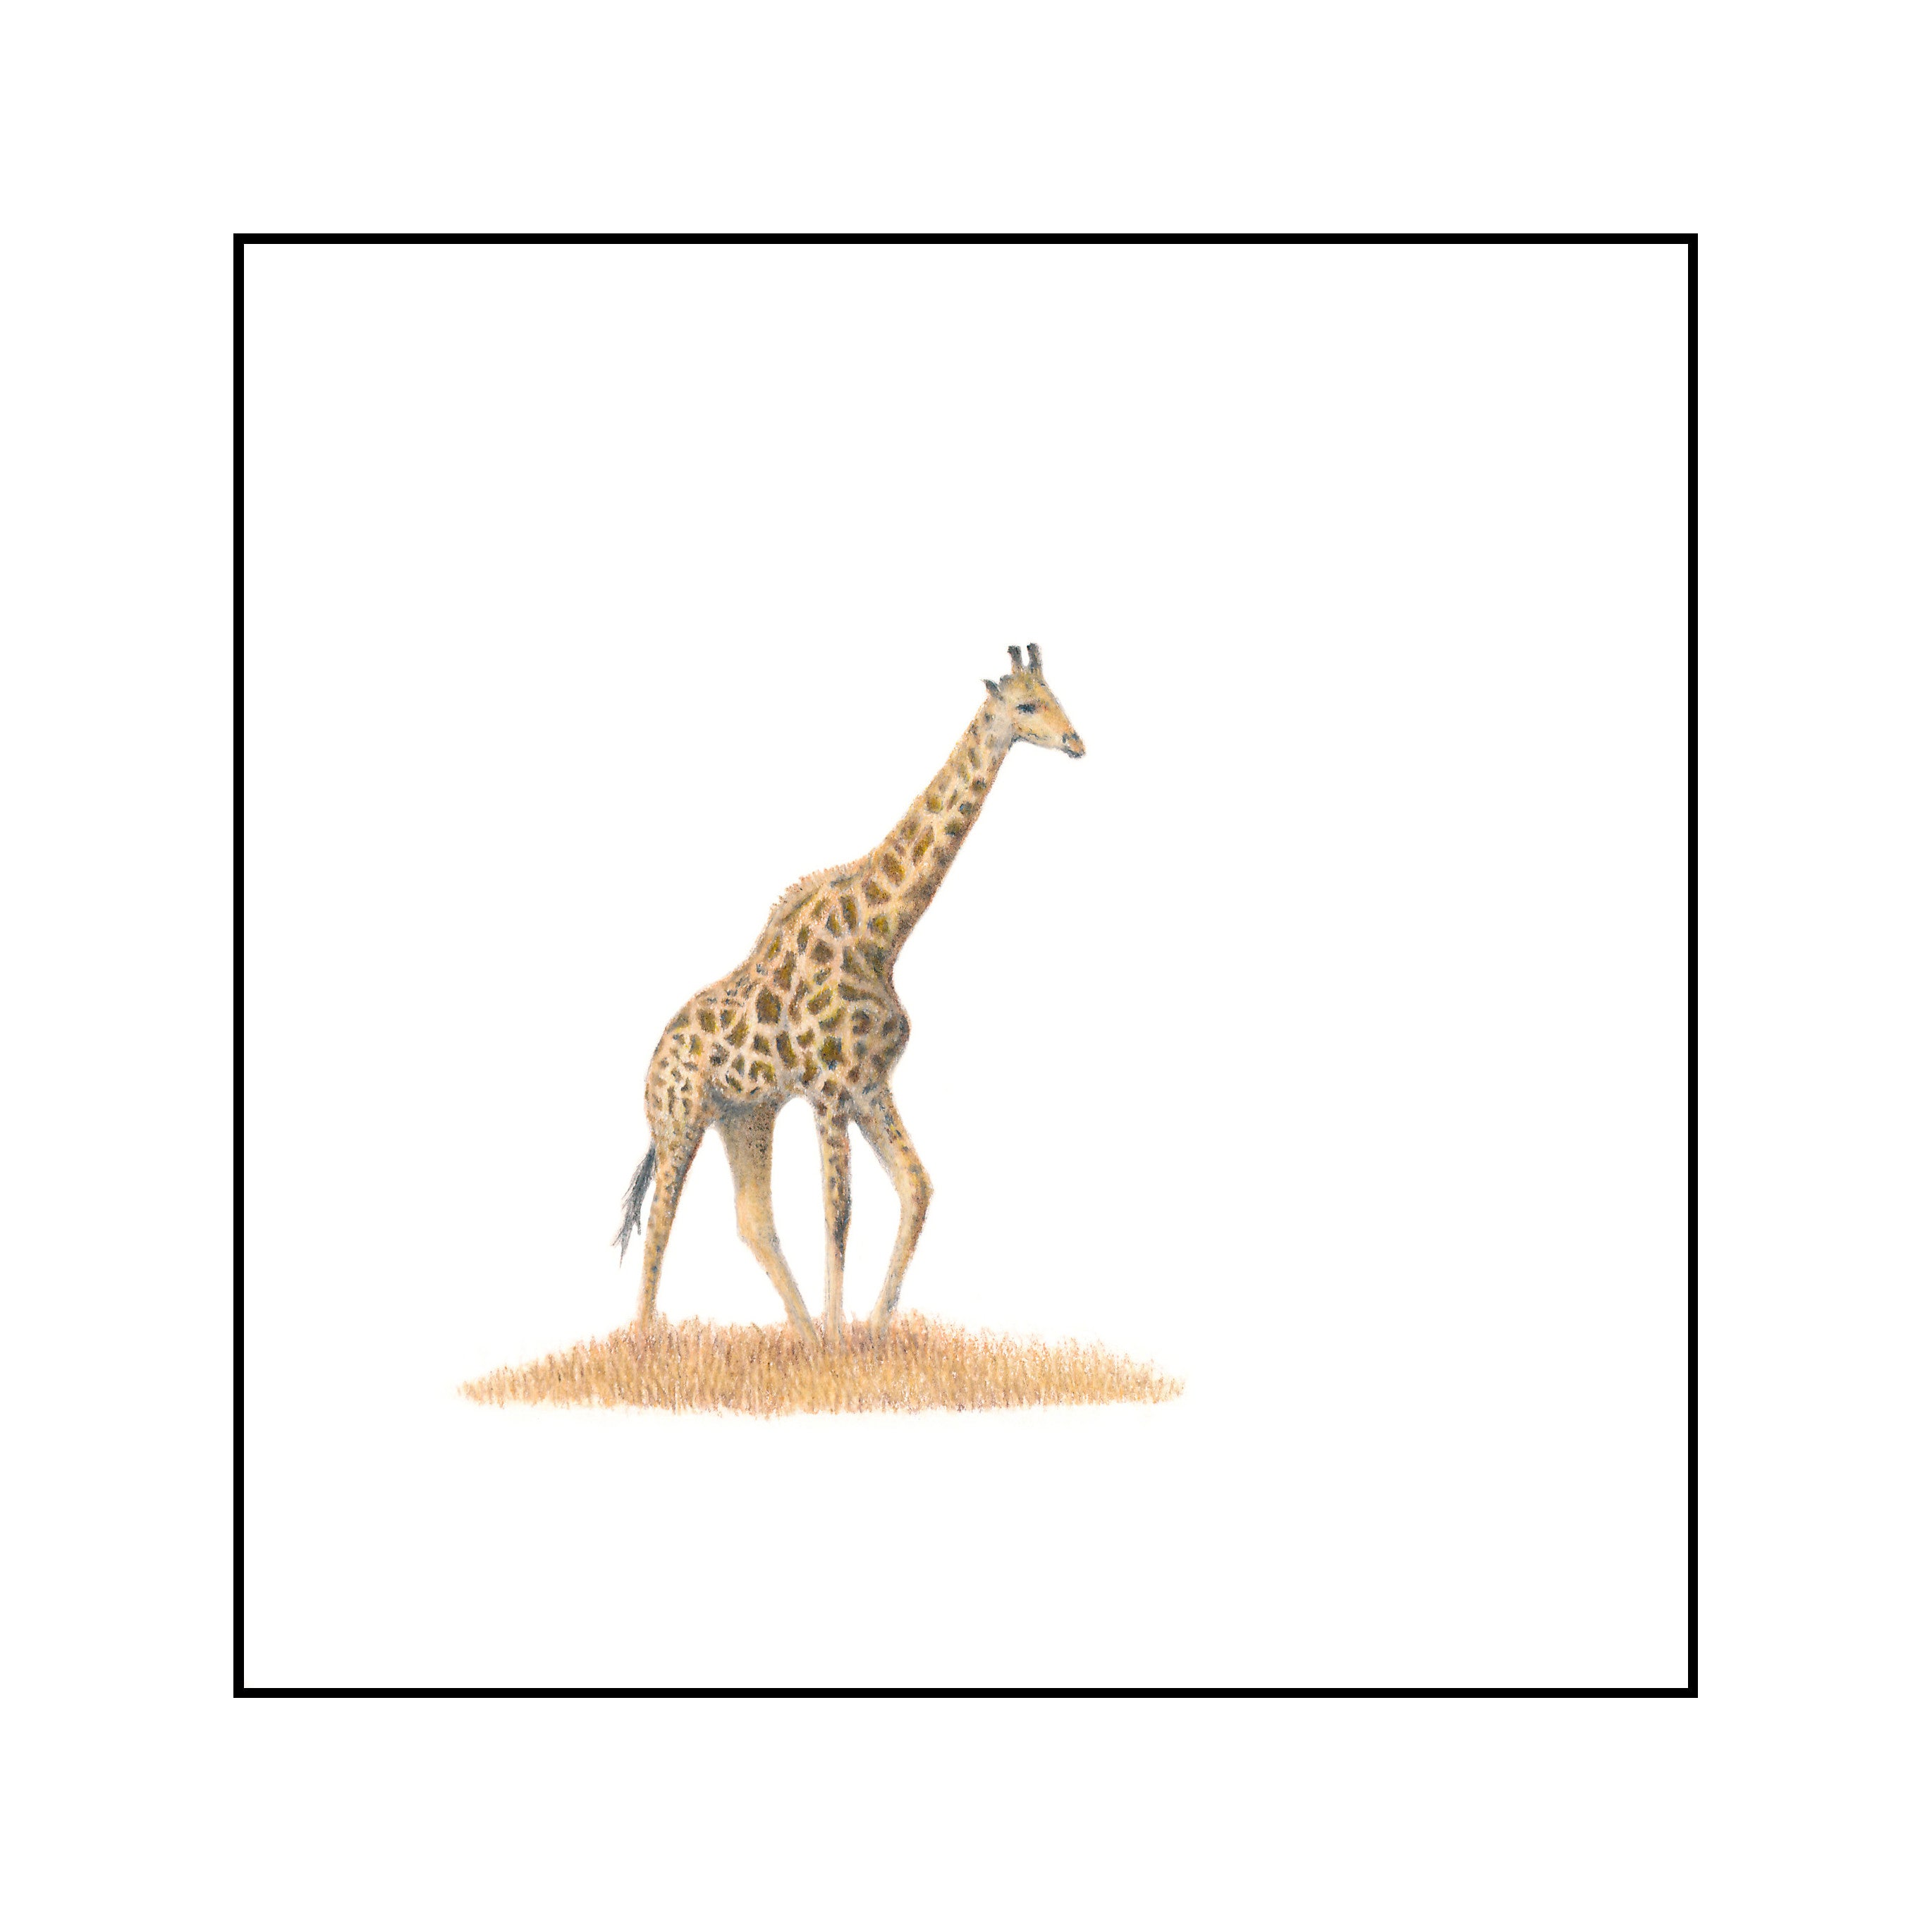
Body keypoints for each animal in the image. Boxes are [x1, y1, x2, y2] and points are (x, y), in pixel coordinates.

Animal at [613, 645, 1086, 1349]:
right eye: (1026, 705)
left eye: (1057, 696)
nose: (1076, 741)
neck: (880, 936)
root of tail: (653, 1062)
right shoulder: (831, 1089)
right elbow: (839, 1212)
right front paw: (844, 1341)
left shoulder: (869, 1085)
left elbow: (916, 1188)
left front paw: (869, 1333)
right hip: (680, 1121)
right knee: (663, 1222)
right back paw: (647, 1341)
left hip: (744, 1116)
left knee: (752, 1218)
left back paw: (805, 1338)